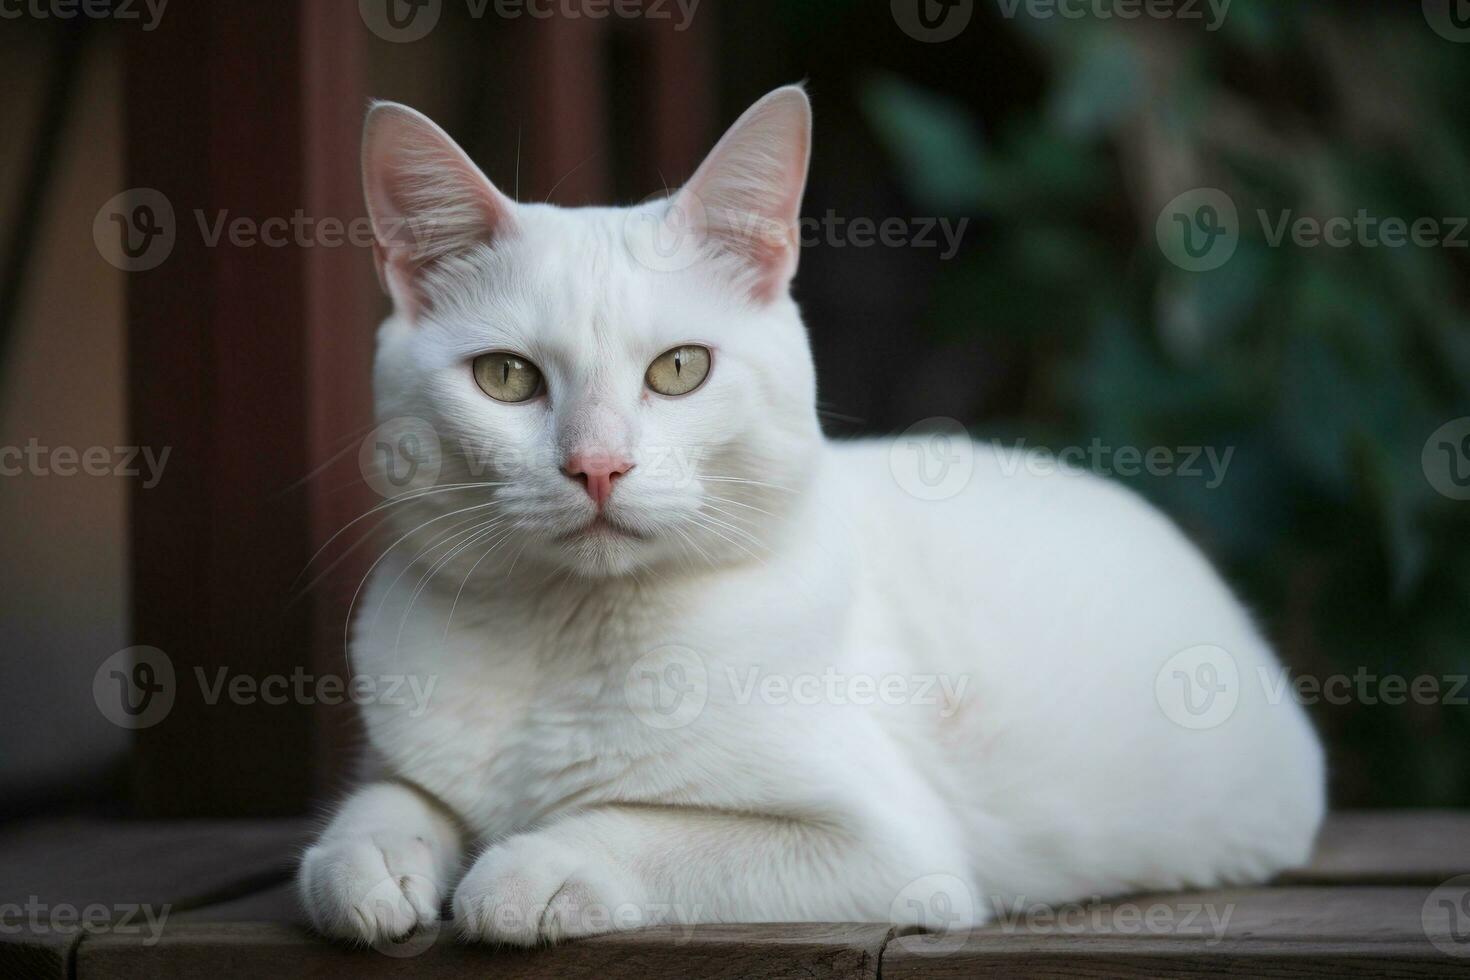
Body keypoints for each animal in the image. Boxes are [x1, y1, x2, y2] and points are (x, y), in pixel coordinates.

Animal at [295, 86, 1323, 952]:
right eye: (506, 377)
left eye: (679, 369)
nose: (597, 466)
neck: (564, 639)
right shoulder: (405, 765)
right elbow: (386, 806)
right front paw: (364, 865)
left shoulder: (887, 851)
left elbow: (648, 830)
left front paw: (528, 871)